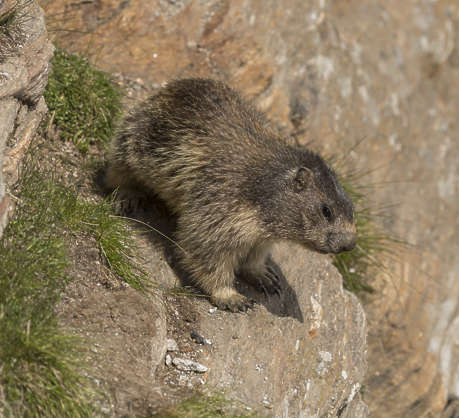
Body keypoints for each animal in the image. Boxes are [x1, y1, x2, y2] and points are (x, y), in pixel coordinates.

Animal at [105, 78, 357, 312]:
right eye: (326, 210)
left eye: (353, 209)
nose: (350, 245)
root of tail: (170, 86)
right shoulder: (224, 206)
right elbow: (206, 247)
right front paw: (232, 297)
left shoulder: (261, 235)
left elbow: (256, 253)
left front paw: (265, 276)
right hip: (134, 139)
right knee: (118, 169)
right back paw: (126, 196)